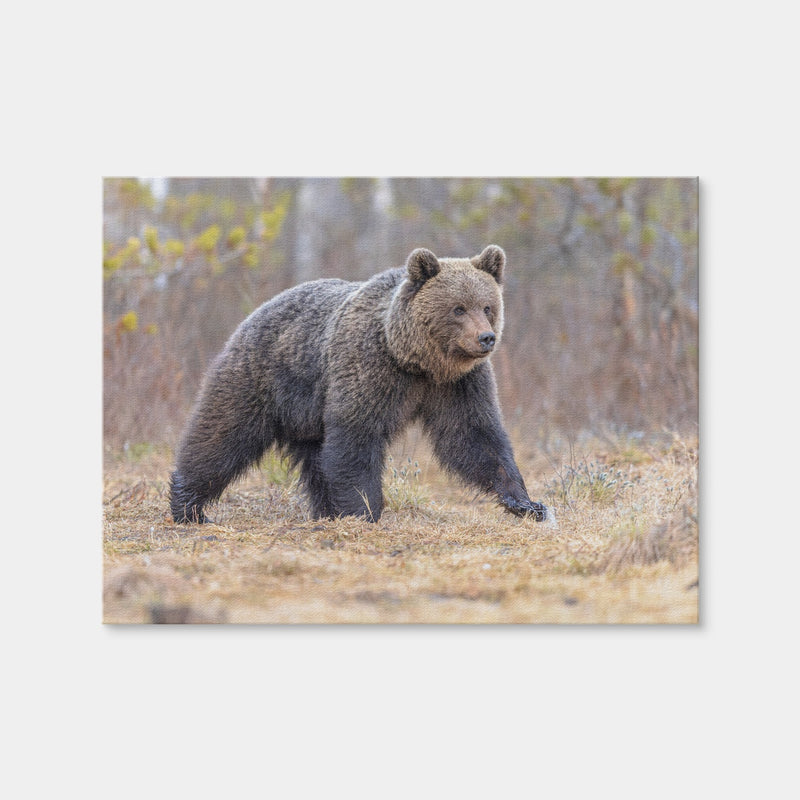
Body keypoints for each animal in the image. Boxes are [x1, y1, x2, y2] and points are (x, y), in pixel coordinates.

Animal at [170, 245, 547, 524]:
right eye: (458, 308)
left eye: (487, 306)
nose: (486, 338)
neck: (416, 360)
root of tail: (257, 311)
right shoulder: (370, 367)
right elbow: (357, 436)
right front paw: (365, 510)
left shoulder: (459, 384)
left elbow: (474, 435)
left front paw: (526, 502)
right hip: (262, 378)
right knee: (222, 434)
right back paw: (189, 506)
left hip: (308, 415)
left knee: (316, 459)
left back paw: (324, 511)